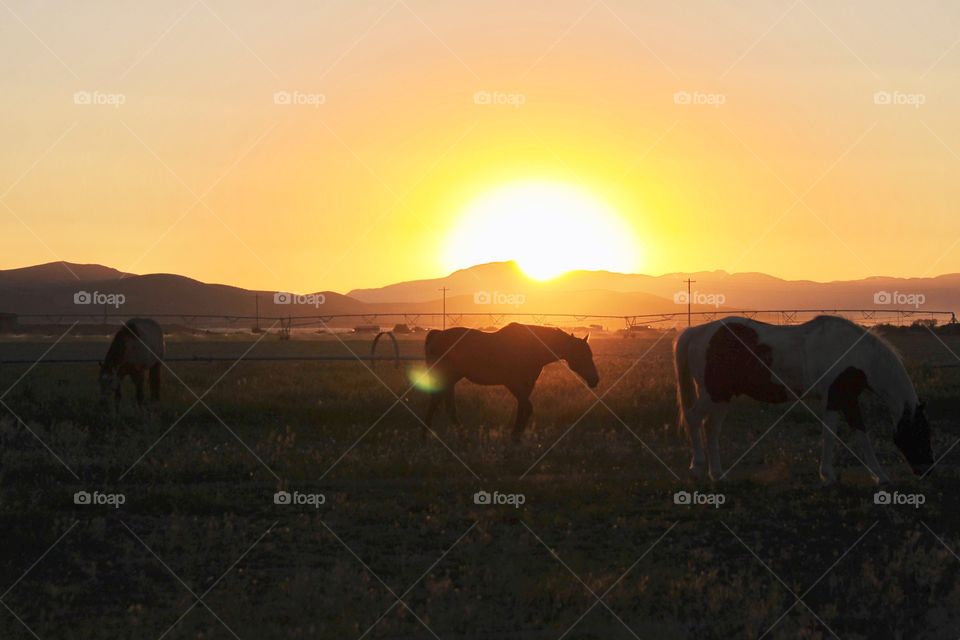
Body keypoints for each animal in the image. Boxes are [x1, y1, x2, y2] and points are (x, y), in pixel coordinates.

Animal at [422, 322, 596, 438]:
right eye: (582, 355)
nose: (595, 379)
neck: (531, 348)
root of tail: (436, 335)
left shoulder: (526, 386)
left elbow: (524, 408)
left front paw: (516, 436)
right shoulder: (514, 384)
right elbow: (527, 408)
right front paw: (515, 437)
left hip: (450, 380)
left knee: (446, 406)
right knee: (439, 404)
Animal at [672, 316, 932, 484]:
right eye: (920, 432)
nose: (925, 470)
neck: (857, 355)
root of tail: (697, 332)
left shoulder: (848, 400)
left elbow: (860, 434)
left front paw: (880, 476)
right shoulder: (834, 399)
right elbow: (831, 434)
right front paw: (828, 475)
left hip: (722, 397)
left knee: (710, 428)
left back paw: (717, 474)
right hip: (713, 394)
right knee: (694, 419)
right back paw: (697, 469)